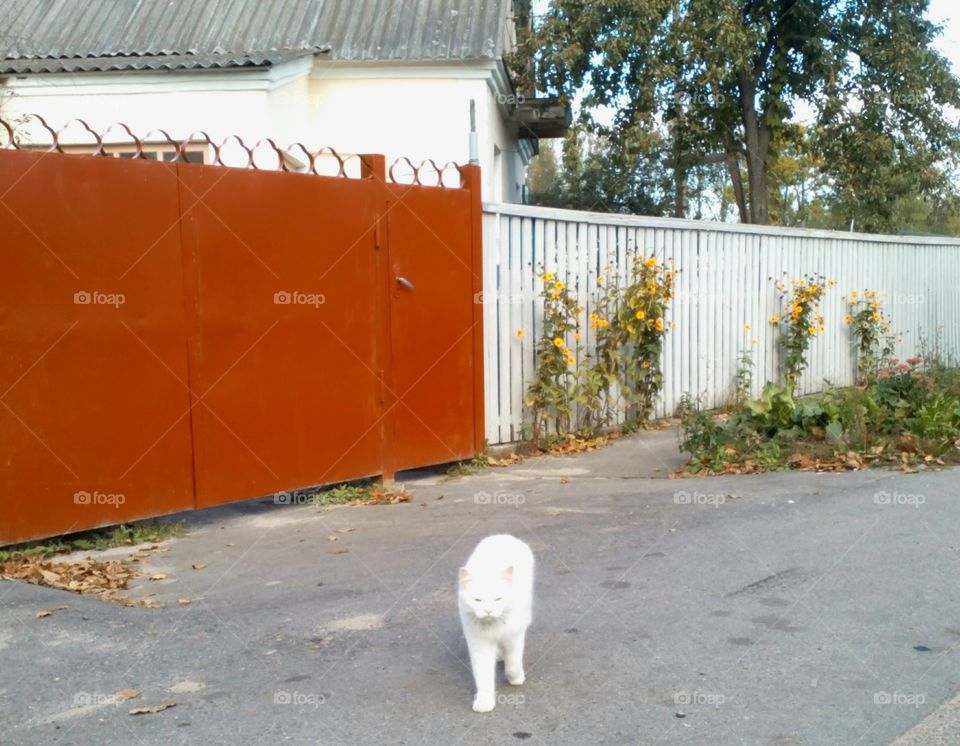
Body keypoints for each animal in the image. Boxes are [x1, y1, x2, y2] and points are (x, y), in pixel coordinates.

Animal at [458, 532, 532, 712]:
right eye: (477, 600)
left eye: (498, 599)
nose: (488, 610)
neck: (493, 627)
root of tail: (503, 535)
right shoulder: (480, 646)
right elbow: (483, 677)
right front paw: (484, 703)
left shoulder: (514, 640)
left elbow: (512, 666)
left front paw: (516, 679)